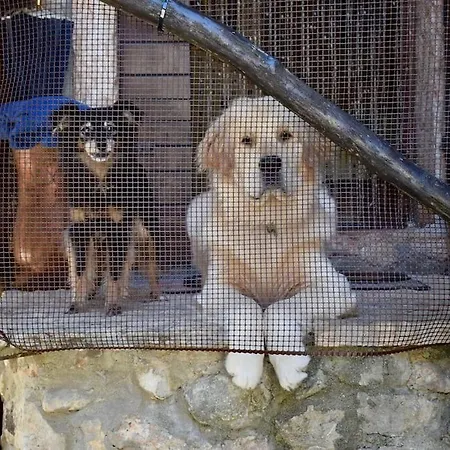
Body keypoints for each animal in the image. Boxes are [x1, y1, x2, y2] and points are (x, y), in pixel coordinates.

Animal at [51, 100, 160, 315]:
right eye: (85, 130)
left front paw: (113, 305)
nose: (101, 143)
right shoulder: (79, 230)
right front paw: (77, 304)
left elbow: (115, 274)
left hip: (146, 230)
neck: (100, 177)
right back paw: (90, 293)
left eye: (110, 128)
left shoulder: (118, 230)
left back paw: (156, 294)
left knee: (151, 263)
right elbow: (80, 272)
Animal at [187, 96, 356, 390]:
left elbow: (279, 307)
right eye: (246, 140)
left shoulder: (335, 288)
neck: (268, 221)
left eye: (285, 135)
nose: (270, 164)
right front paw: (245, 366)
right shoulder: (216, 290)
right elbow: (247, 306)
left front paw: (289, 364)